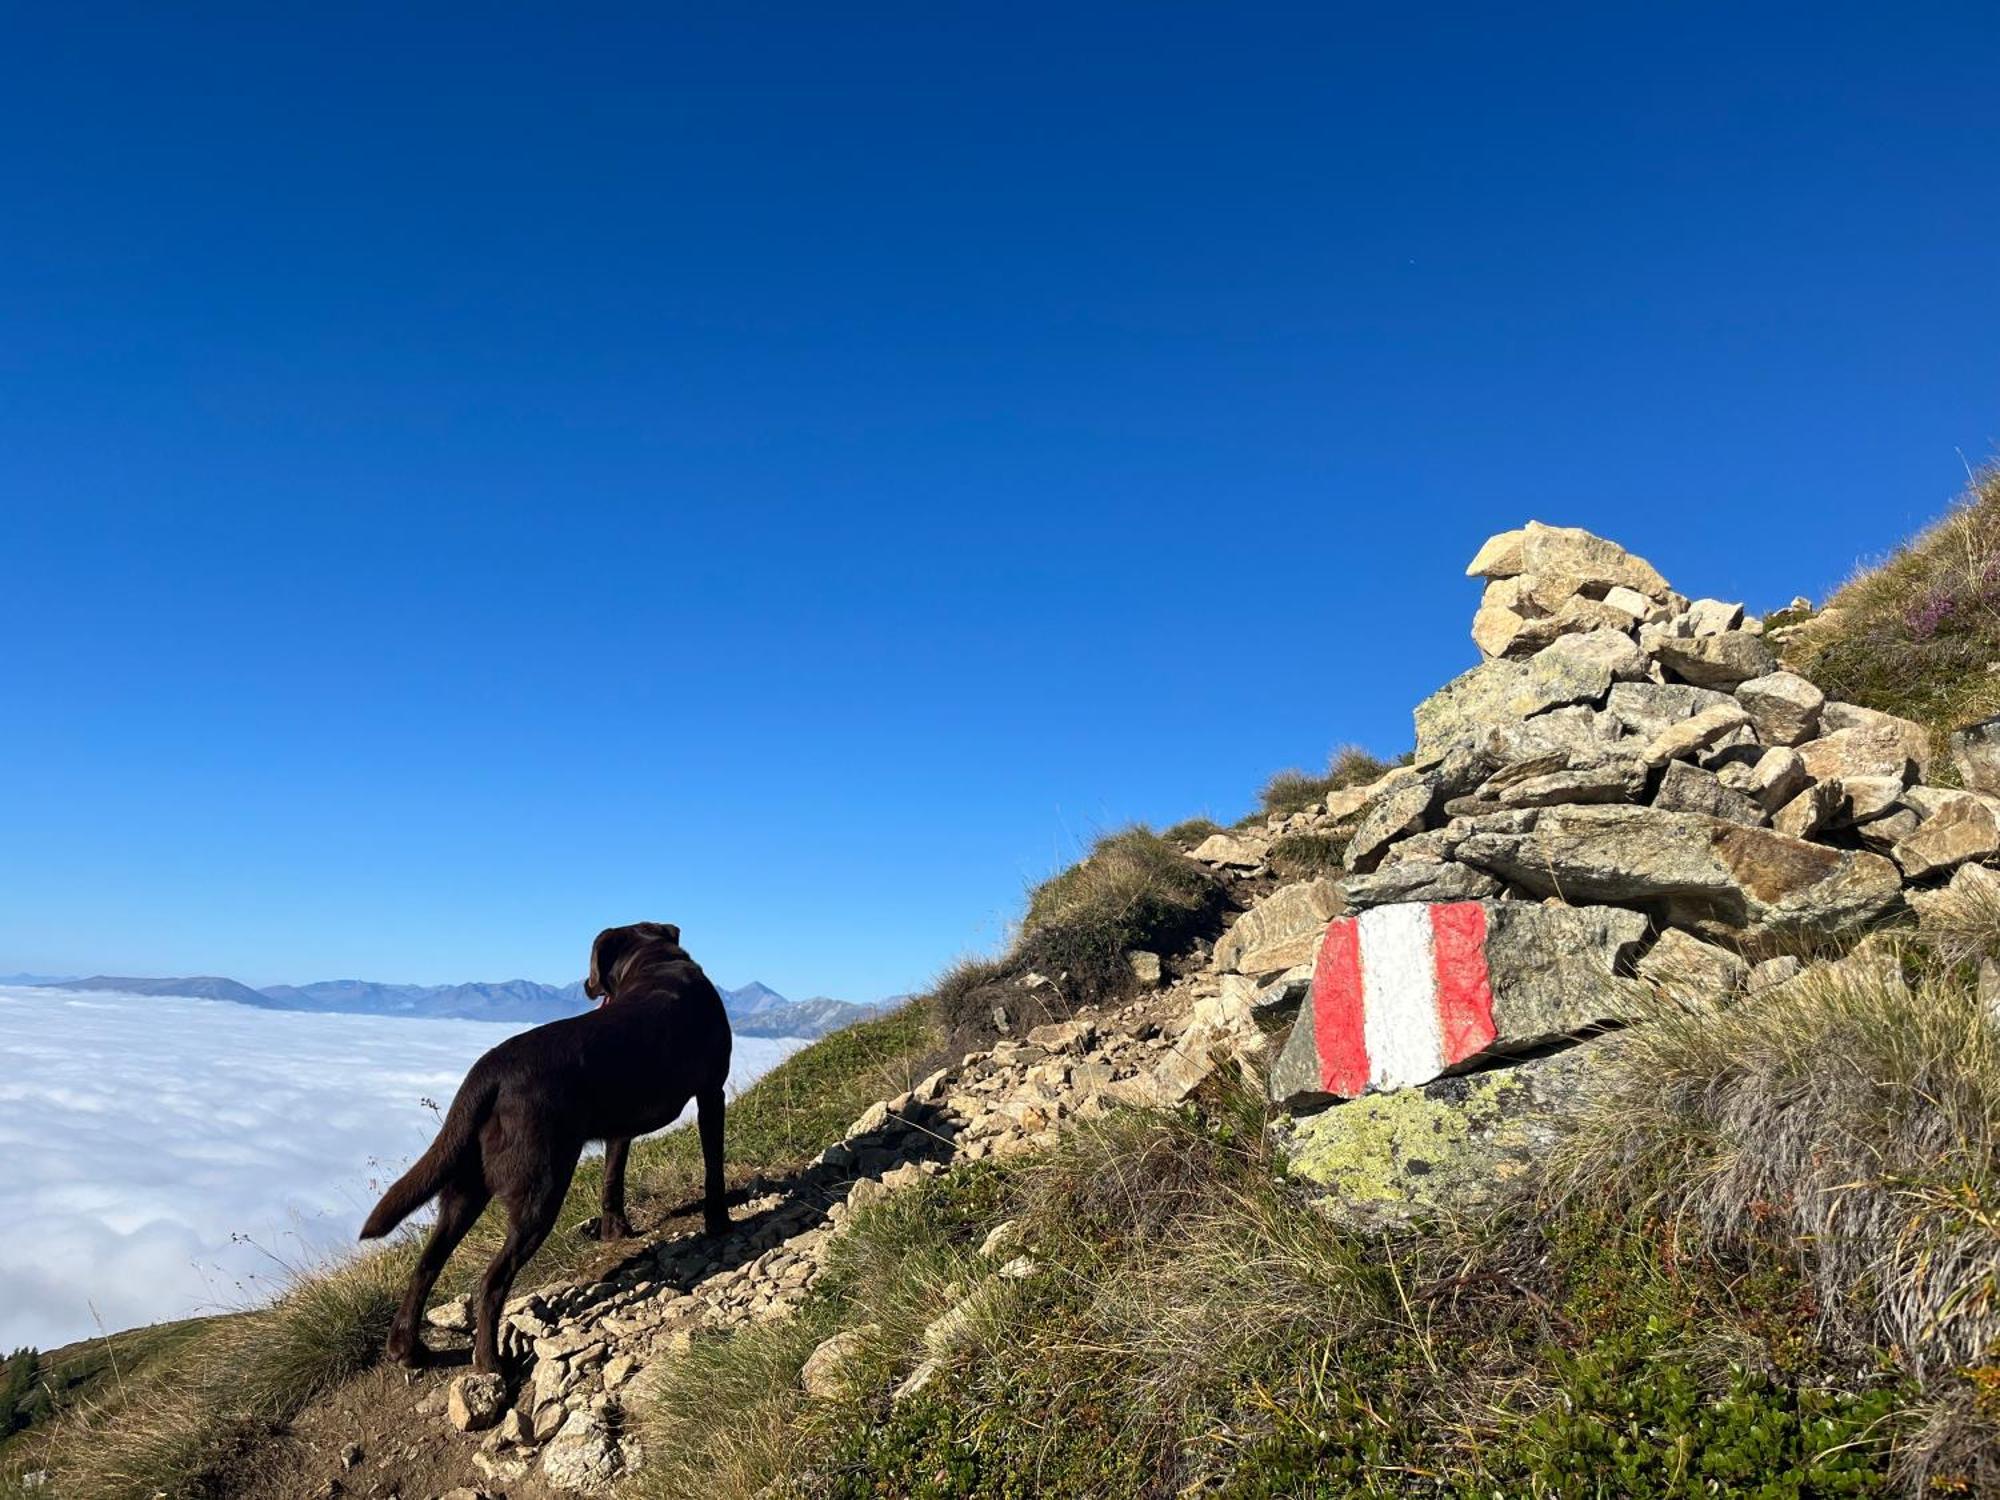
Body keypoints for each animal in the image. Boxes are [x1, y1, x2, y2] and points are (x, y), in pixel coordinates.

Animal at [362, 928, 736, 1376]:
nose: (584, 985)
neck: (657, 960)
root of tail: (487, 1073)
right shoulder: (712, 1093)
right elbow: (713, 1166)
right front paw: (719, 1220)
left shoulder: (621, 1129)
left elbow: (612, 1177)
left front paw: (615, 1231)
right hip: (540, 1190)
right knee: (492, 1281)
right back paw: (491, 1362)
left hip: (466, 1189)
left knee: (426, 1264)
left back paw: (408, 1348)